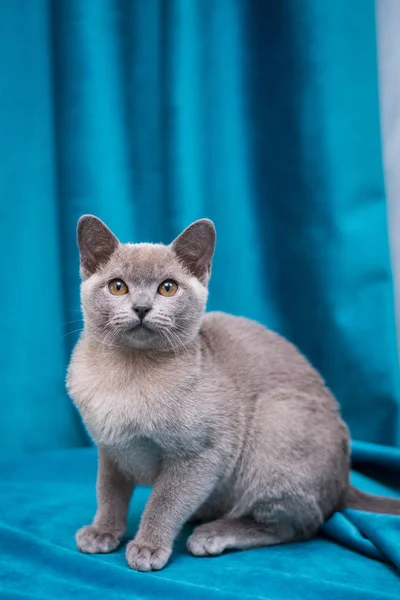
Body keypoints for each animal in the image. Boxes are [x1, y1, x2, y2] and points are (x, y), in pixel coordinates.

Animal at [67, 216, 400, 572]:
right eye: (118, 286)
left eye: (167, 287)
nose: (142, 308)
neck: (126, 377)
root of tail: (344, 480)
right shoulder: (110, 450)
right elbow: (108, 494)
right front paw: (103, 533)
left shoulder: (200, 455)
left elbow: (164, 502)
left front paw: (148, 547)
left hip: (277, 421)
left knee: (299, 525)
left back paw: (211, 534)